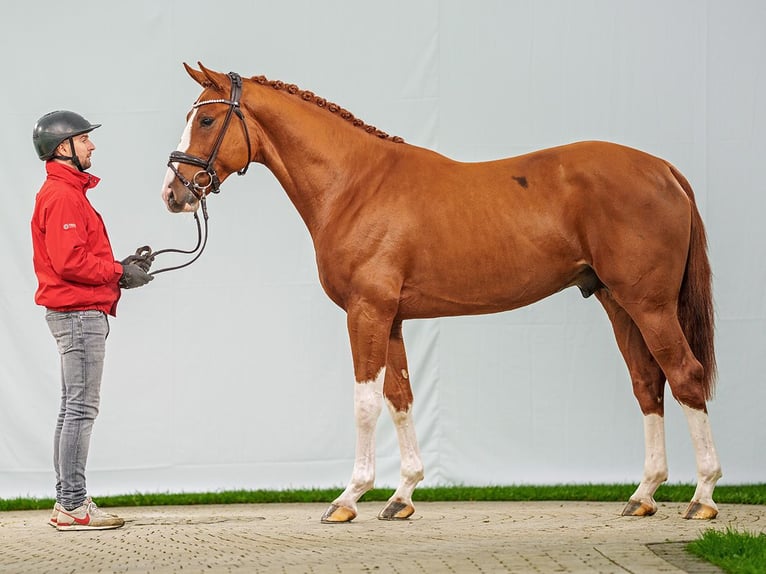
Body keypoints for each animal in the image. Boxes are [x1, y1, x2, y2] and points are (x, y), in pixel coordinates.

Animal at [159, 60, 724, 524]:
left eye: (205, 121)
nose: (173, 193)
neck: (356, 184)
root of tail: (663, 169)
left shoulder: (366, 312)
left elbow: (365, 402)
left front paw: (348, 498)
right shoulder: (391, 318)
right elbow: (400, 397)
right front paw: (402, 496)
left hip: (650, 305)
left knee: (685, 375)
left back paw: (703, 497)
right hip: (618, 302)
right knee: (648, 383)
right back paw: (644, 494)